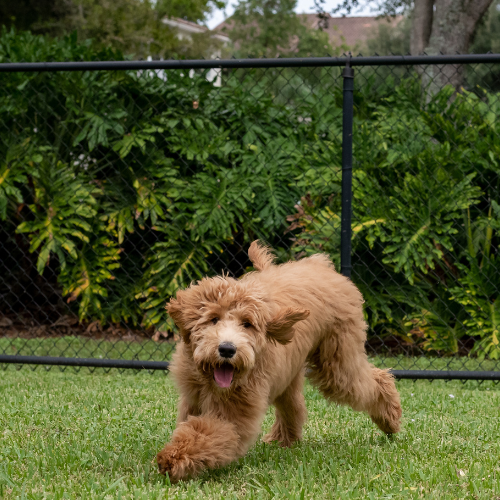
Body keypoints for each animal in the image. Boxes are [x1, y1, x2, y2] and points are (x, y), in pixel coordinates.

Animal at [157, 240, 402, 482]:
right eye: (213, 319)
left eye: (247, 324)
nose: (227, 349)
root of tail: (321, 265)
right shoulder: (193, 396)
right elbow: (191, 424)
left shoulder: (235, 411)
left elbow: (211, 432)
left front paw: (175, 458)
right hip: (290, 372)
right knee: (293, 404)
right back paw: (283, 439)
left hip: (337, 361)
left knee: (372, 380)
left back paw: (390, 420)